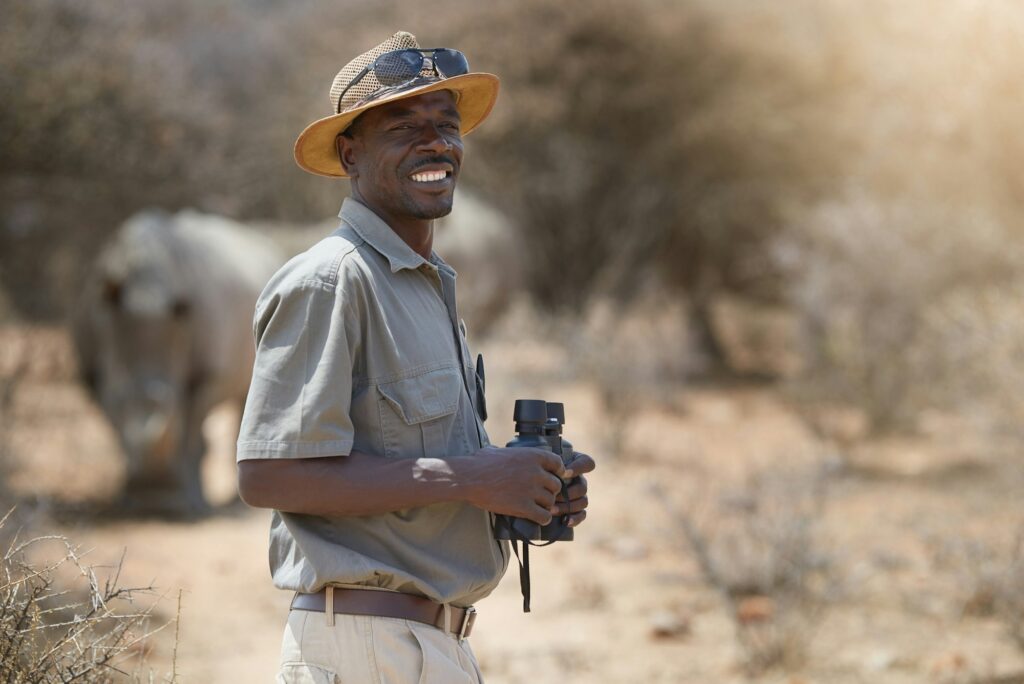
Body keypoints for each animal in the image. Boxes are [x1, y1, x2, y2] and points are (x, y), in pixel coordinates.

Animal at [73, 210, 284, 516]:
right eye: (118, 398)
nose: (152, 503)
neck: (145, 292)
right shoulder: (92, 371)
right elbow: (115, 427)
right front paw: (127, 500)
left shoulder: (207, 373)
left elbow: (191, 432)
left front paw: (193, 508)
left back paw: (236, 505)